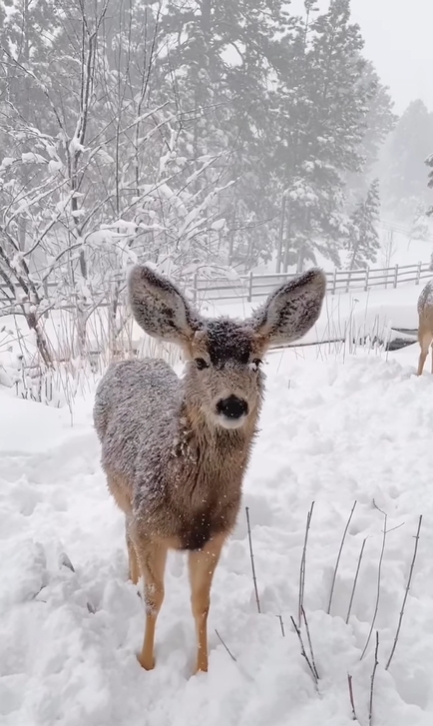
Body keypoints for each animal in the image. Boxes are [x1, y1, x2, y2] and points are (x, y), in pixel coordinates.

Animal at [93, 268, 324, 676]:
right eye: (200, 361)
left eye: (256, 362)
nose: (232, 404)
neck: (191, 506)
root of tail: (132, 361)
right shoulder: (147, 522)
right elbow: (154, 597)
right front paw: (146, 664)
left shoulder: (215, 534)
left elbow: (201, 604)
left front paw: (201, 670)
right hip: (120, 491)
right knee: (125, 533)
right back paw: (130, 579)